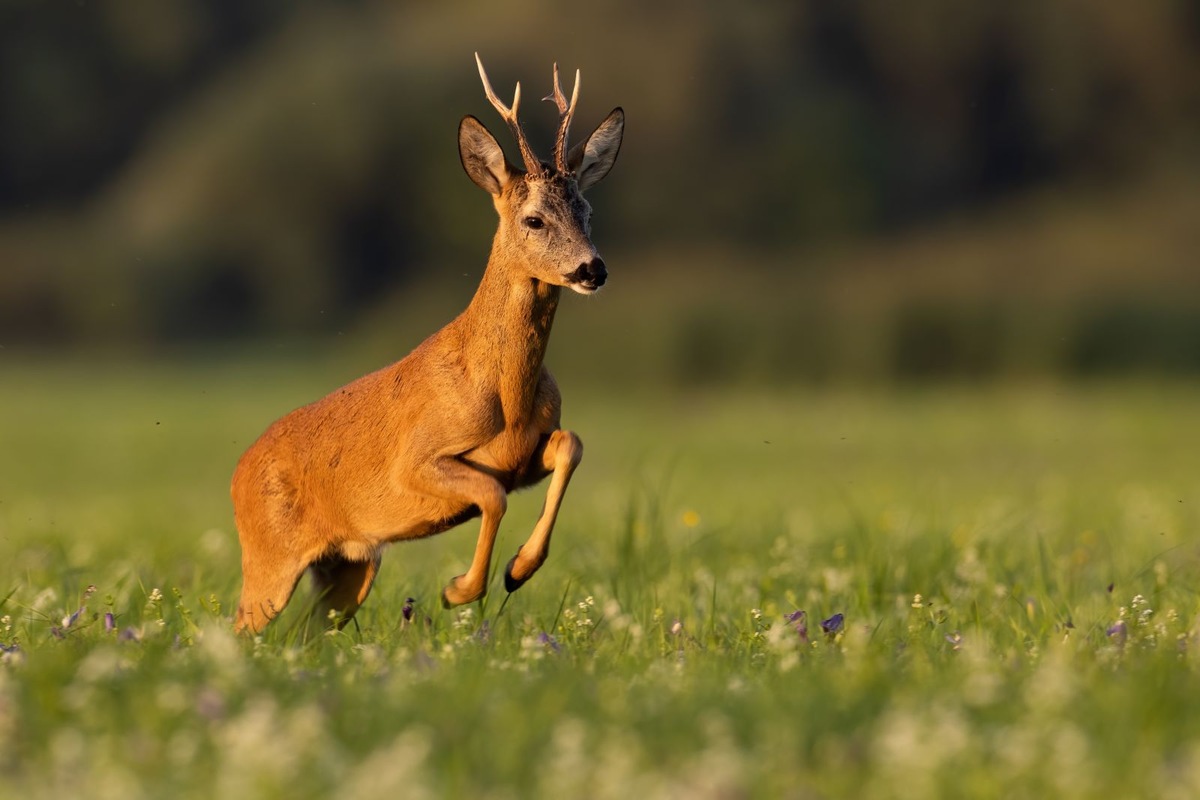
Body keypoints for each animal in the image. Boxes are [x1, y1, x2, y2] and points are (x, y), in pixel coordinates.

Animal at [226, 53, 628, 633]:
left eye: (588, 214)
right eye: (534, 218)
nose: (591, 269)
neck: (505, 393)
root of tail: (237, 475)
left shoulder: (526, 457)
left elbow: (570, 445)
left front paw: (520, 568)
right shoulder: (417, 462)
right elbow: (492, 495)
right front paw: (460, 589)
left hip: (350, 566)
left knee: (306, 633)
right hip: (270, 559)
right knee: (237, 629)